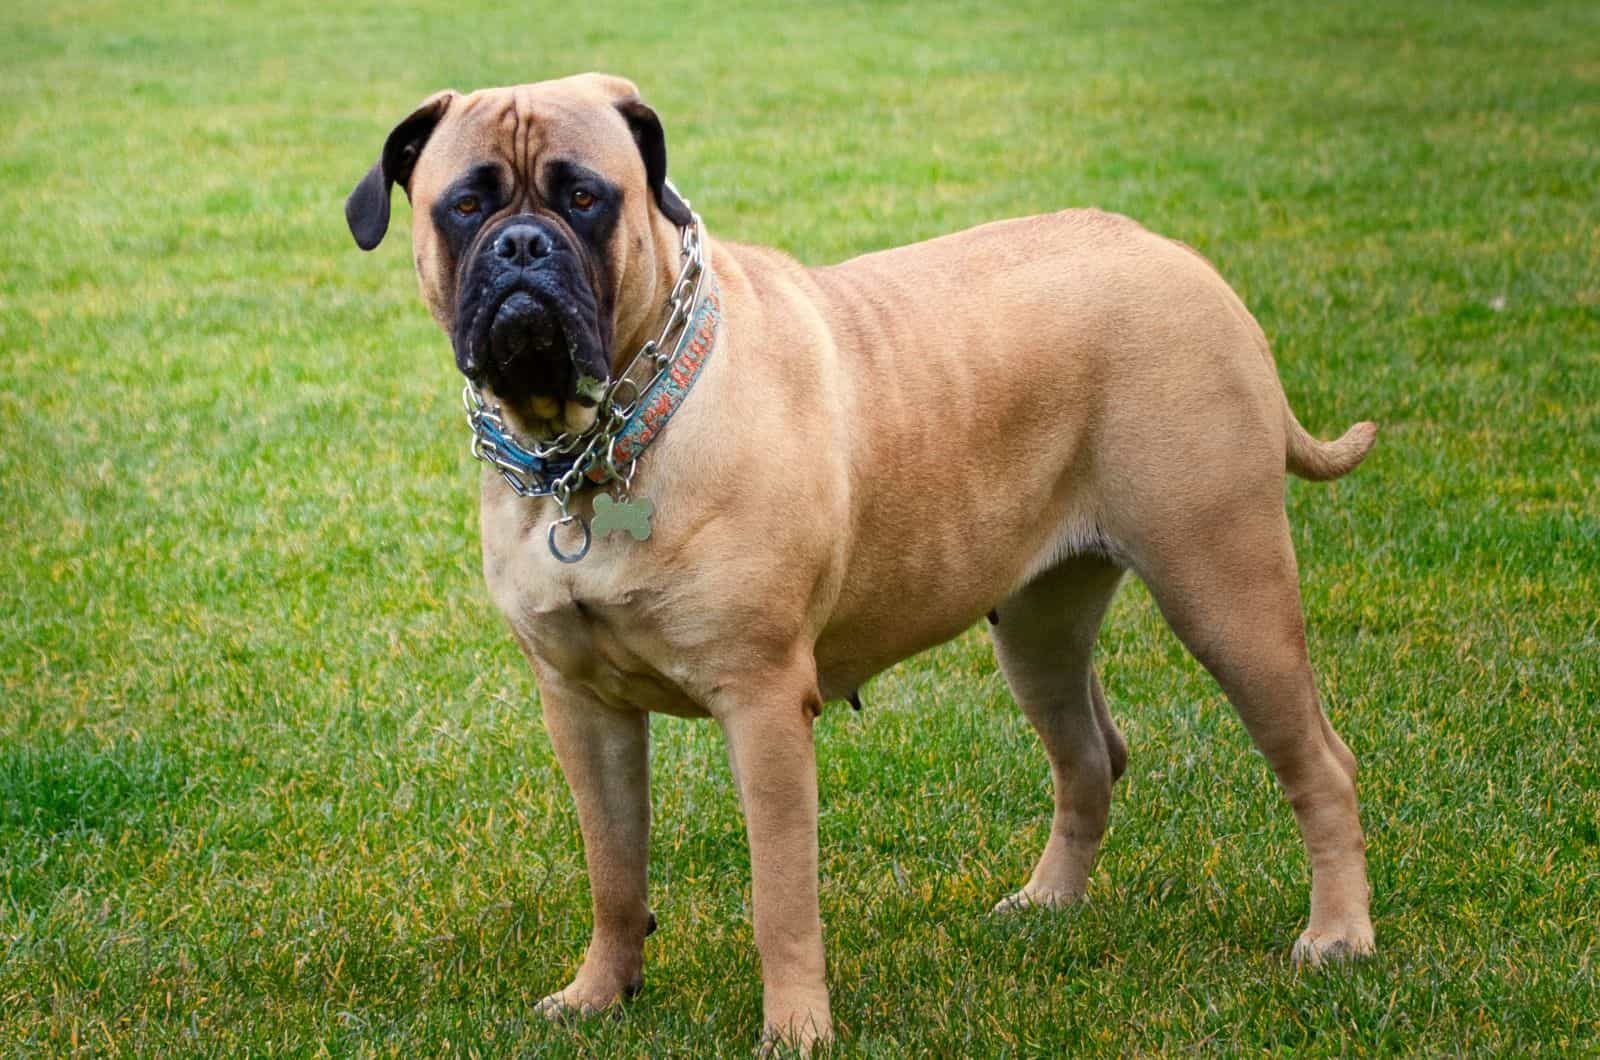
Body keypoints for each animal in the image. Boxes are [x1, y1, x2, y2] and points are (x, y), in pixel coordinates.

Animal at [347, 74, 1376, 1056]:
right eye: (465, 205)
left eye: (586, 197)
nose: (523, 248)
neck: (593, 444)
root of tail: (1184, 259)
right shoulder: (581, 706)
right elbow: (613, 869)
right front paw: (599, 994)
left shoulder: (762, 702)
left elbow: (780, 897)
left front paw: (795, 1030)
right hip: (1038, 625)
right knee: (1090, 756)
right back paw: (1048, 903)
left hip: (1224, 586)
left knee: (1319, 762)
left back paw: (1337, 936)